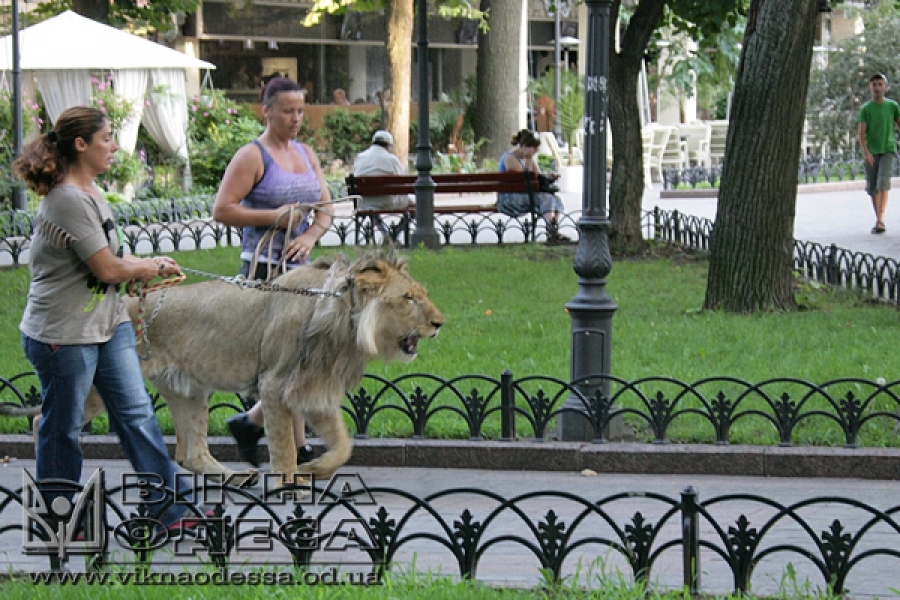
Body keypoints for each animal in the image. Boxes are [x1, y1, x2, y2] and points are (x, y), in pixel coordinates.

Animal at [39, 251, 446, 480]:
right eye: (409, 299)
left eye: (423, 295)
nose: (440, 323)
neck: (342, 322)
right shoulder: (275, 386)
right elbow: (283, 446)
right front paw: (290, 484)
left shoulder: (313, 389)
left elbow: (343, 445)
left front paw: (315, 469)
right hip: (97, 384)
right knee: (47, 421)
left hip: (189, 392)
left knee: (191, 454)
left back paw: (234, 479)